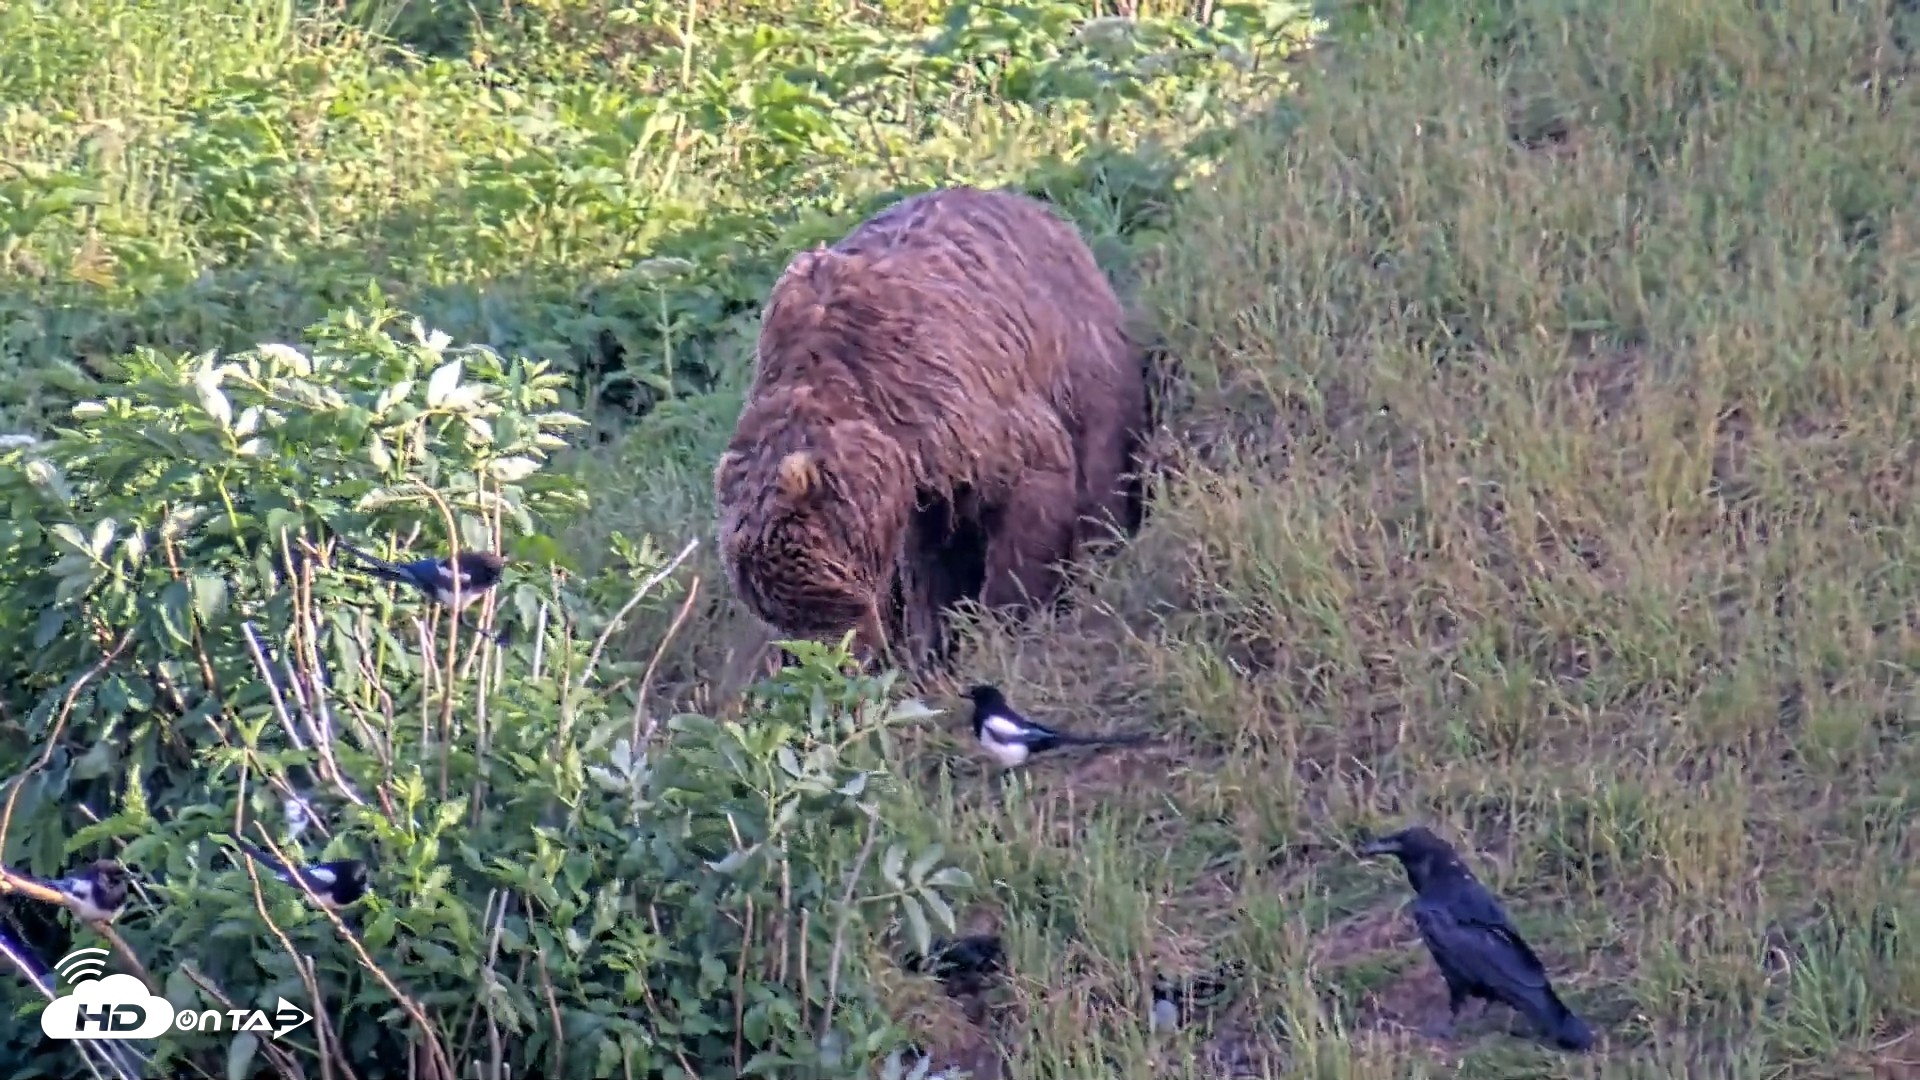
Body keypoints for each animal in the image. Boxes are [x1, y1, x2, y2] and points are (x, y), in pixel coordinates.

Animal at [713, 185, 1149, 671]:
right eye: (781, 615)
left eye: (828, 597)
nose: (842, 664)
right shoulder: (922, 473)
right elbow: (931, 557)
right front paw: (936, 642)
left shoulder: (956, 403)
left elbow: (1030, 494)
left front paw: (1004, 620)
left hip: (1081, 355)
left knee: (1101, 464)